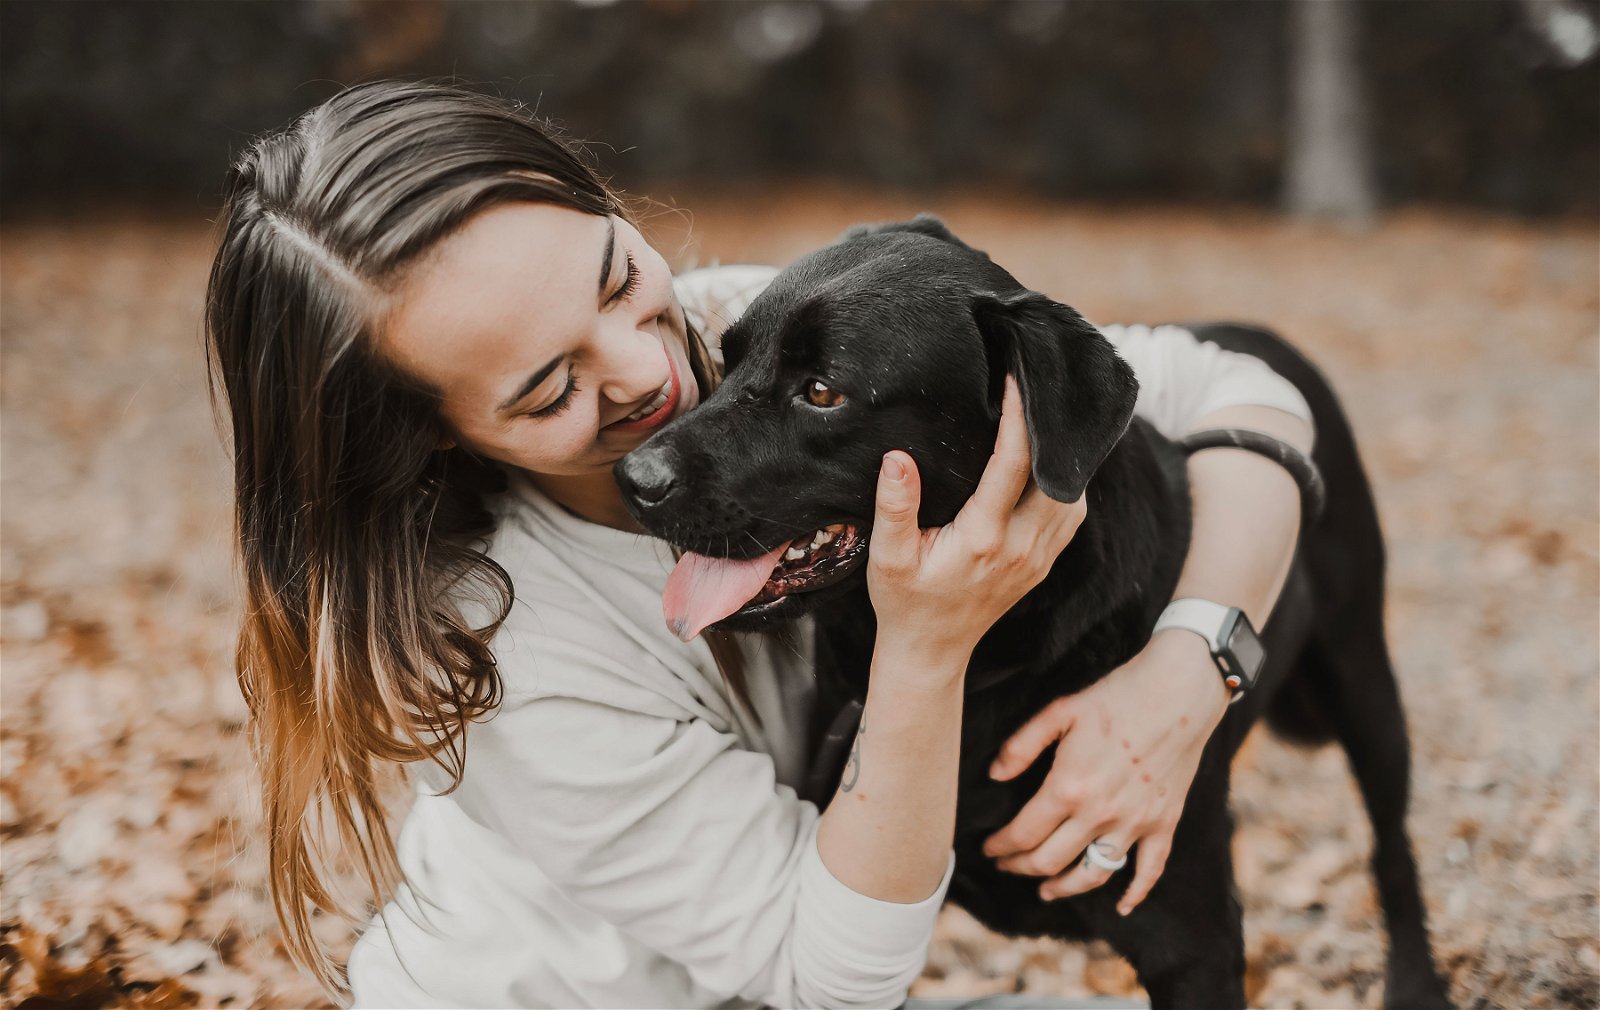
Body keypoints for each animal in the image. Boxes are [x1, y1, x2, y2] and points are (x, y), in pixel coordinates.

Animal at [617, 219, 1459, 1010]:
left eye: (822, 392)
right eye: (728, 356)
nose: (634, 478)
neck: (987, 667)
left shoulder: (1193, 944)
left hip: (1365, 681)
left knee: (1393, 848)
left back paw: (1416, 982)